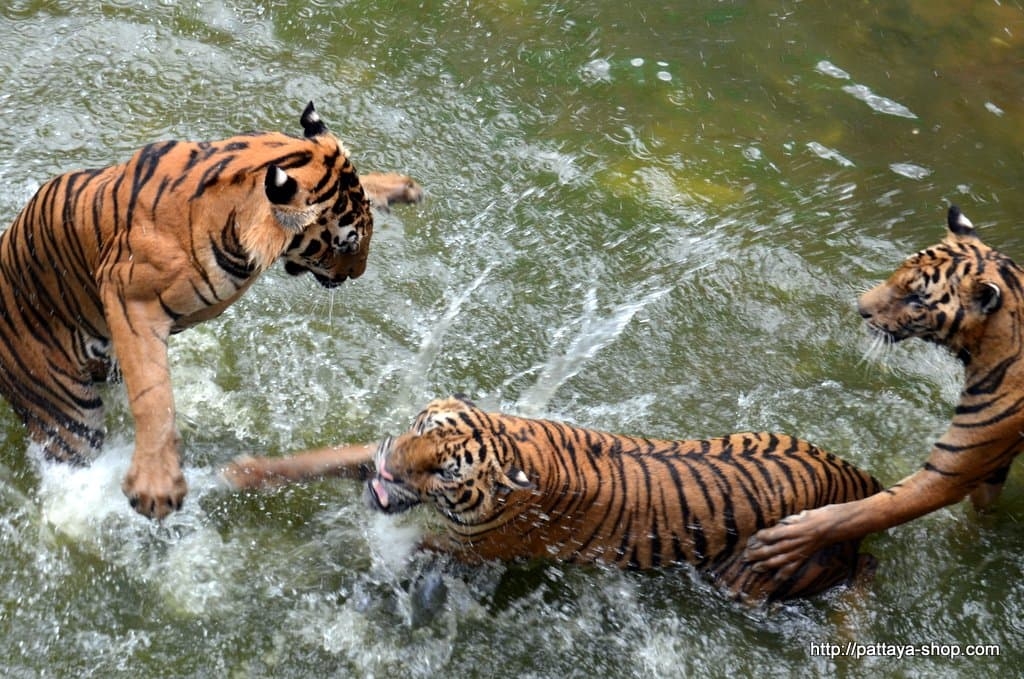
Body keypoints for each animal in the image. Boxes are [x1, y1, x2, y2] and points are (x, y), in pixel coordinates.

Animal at [0, 101, 421, 520]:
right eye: (346, 244)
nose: (357, 273)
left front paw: (395, 187)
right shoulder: (129, 297)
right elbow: (154, 395)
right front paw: (156, 484)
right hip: (66, 415)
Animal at [223, 395, 882, 602]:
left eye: (445, 472)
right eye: (419, 429)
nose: (391, 468)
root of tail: (862, 481)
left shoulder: (477, 549)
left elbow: (401, 550)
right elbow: (325, 456)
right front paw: (240, 472)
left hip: (753, 572)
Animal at [745, 205, 1024, 580]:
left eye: (916, 298)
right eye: (897, 274)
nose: (860, 308)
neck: (987, 347)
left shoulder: (952, 469)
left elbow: (867, 511)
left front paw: (791, 541)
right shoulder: (990, 462)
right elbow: (981, 511)